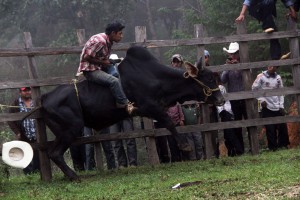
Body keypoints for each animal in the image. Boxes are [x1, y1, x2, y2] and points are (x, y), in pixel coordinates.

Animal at [39, 46, 225, 180]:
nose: (221, 99)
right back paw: (74, 176)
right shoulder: (150, 107)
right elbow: (169, 123)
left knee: (53, 153)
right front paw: (185, 145)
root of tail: (45, 98)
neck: (156, 78)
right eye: (209, 79)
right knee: (55, 153)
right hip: (71, 128)